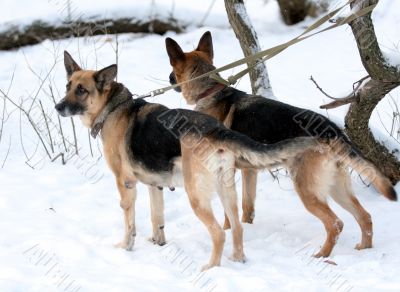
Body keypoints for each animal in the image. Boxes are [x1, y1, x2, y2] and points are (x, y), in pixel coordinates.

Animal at [56, 51, 318, 270]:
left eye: (81, 90)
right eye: (68, 86)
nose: (58, 107)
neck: (113, 108)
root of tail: (215, 129)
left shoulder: (126, 184)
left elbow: (129, 223)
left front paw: (126, 248)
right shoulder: (155, 185)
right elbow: (157, 218)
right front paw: (158, 244)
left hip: (197, 196)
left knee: (219, 233)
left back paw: (211, 268)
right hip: (226, 191)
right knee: (237, 227)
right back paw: (238, 260)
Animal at [165, 30, 396, 258]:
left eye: (172, 68)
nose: (169, 78)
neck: (210, 91)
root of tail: (331, 130)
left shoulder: (226, 172)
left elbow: (228, 215)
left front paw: (227, 230)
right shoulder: (249, 171)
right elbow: (247, 207)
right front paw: (247, 227)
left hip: (307, 189)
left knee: (336, 223)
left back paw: (322, 255)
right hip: (335, 187)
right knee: (365, 216)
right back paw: (364, 249)